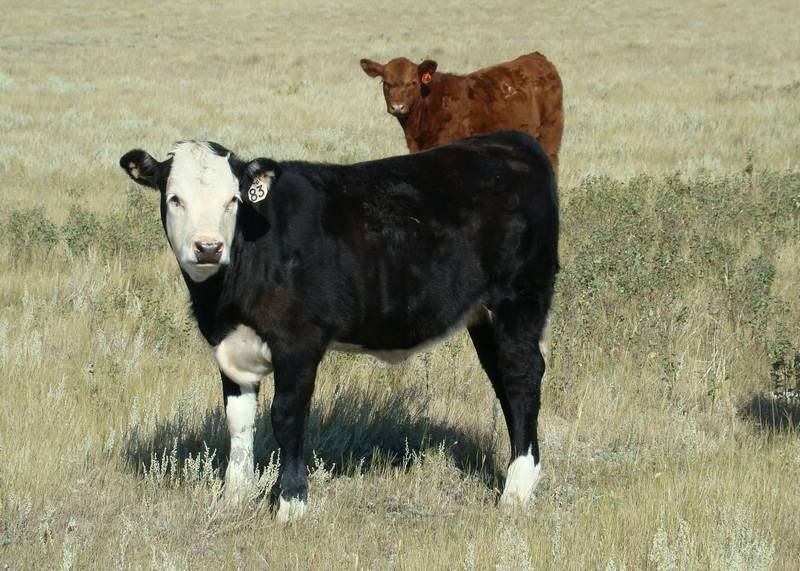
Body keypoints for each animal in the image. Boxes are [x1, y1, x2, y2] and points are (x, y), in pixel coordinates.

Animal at [119, 131, 559, 522]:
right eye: (175, 198)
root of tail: (512, 141)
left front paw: (292, 503)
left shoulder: (298, 341)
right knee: (503, 383)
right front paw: (234, 496)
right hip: (483, 317)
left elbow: (286, 415)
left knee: (521, 377)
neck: (223, 300)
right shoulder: (229, 347)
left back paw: (516, 489)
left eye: (233, 200)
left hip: (520, 300)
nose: (209, 248)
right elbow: (238, 420)